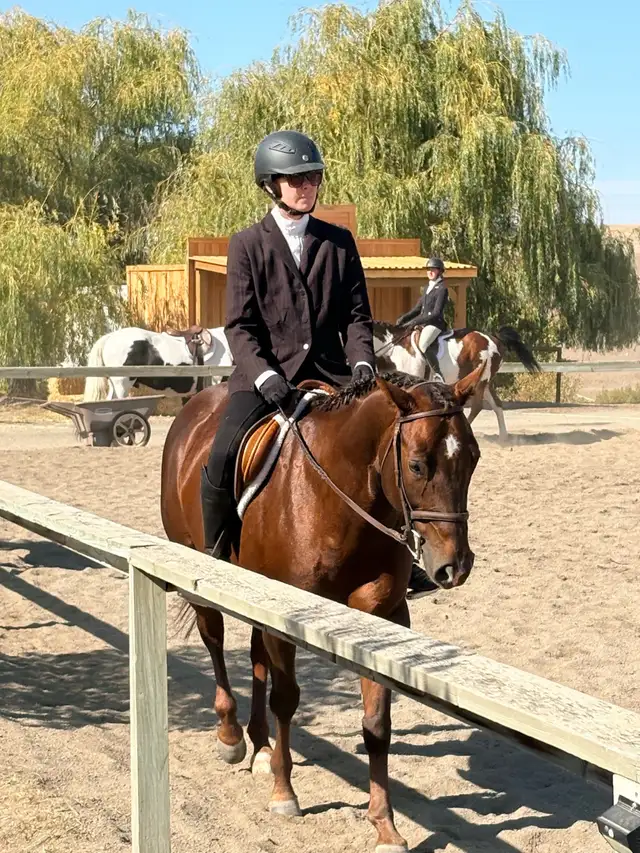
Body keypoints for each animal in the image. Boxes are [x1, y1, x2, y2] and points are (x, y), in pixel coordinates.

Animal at [160, 363, 488, 852]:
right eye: (416, 464)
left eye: (473, 458)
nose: (455, 567)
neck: (339, 496)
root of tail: (193, 409)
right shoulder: (285, 615)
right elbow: (286, 699)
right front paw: (284, 793)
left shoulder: (382, 617)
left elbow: (377, 721)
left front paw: (385, 825)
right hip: (201, 576)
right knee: (214, 640)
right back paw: (232, 736)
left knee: (255, 657)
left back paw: (261, 747)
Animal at [373, 322, 540, 442]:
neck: (394, 349)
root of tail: (494, 338)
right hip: (486, 383)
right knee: (497, 405)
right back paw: (503, 438)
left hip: (481, 380)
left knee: (477, 407)